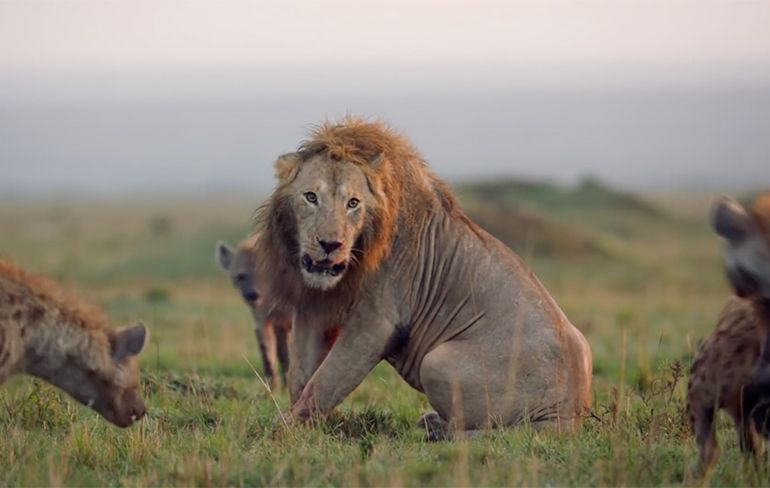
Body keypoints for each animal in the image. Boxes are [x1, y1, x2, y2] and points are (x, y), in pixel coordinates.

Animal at [255, 117, 592, 438]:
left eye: (353, 203)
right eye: (311, 197)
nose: (330, 244)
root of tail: (570, 415)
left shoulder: (376, 321)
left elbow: (326, 380)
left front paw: (284, 428)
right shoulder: (311, 309)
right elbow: (301, 375)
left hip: (437, 361)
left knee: (491, 431)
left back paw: (435, 430)